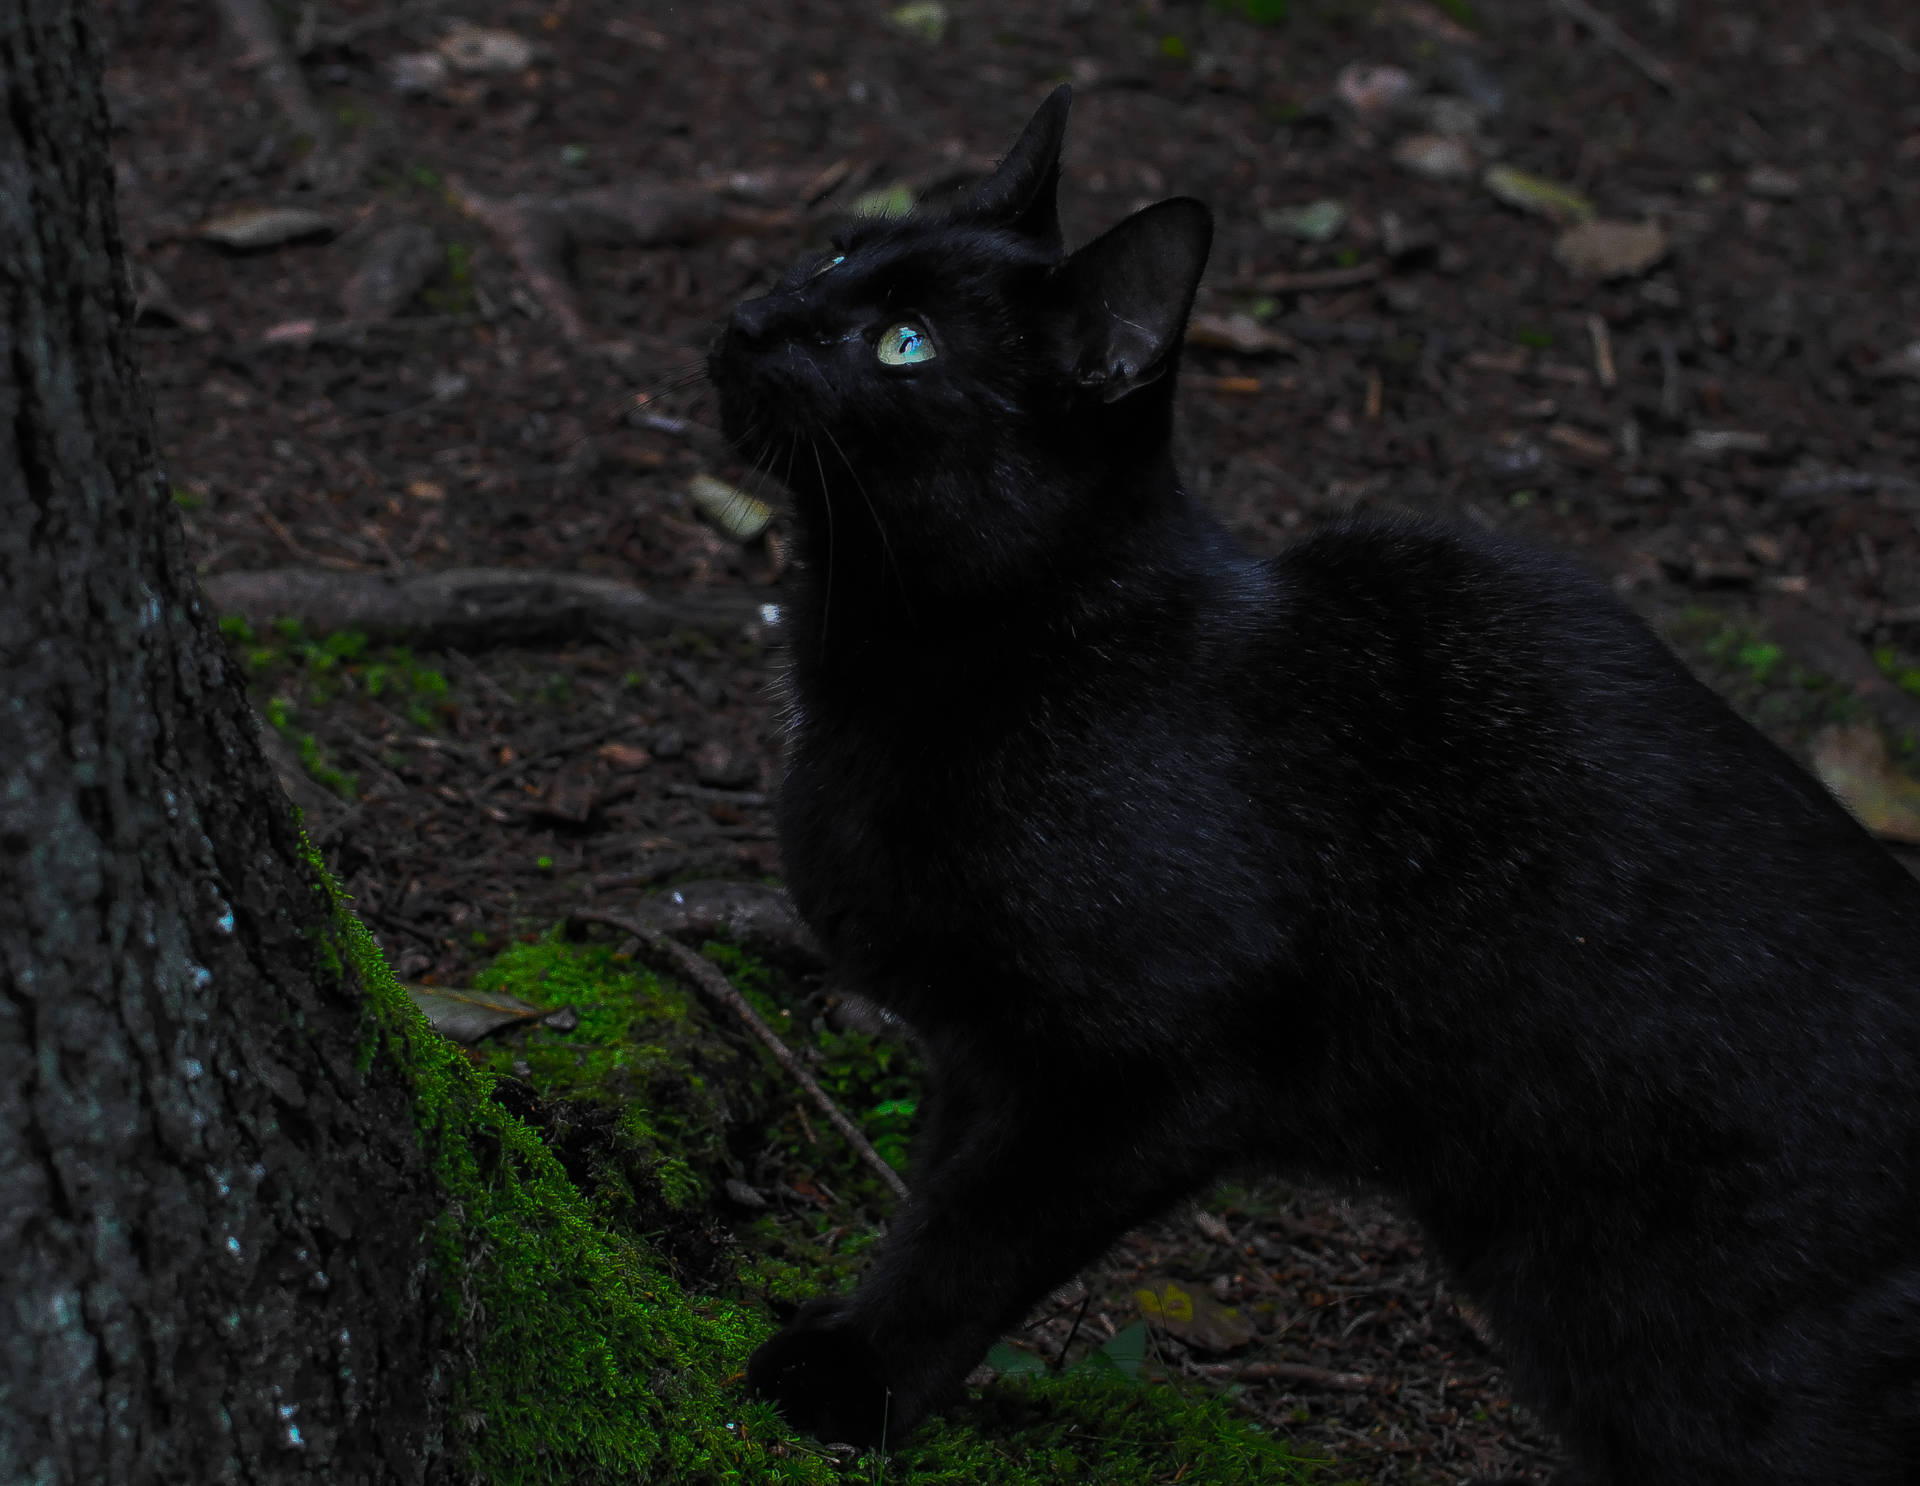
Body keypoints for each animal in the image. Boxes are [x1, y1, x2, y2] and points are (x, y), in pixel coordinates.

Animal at [702, 87, 1920, 1482]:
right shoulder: (977, 1056)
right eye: (838, 252)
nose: (748, 319)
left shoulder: (1139, 1075)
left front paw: (851, 1377)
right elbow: (930, 1194)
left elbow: (972, 1235)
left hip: (1696, 1352)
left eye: (904, 346)